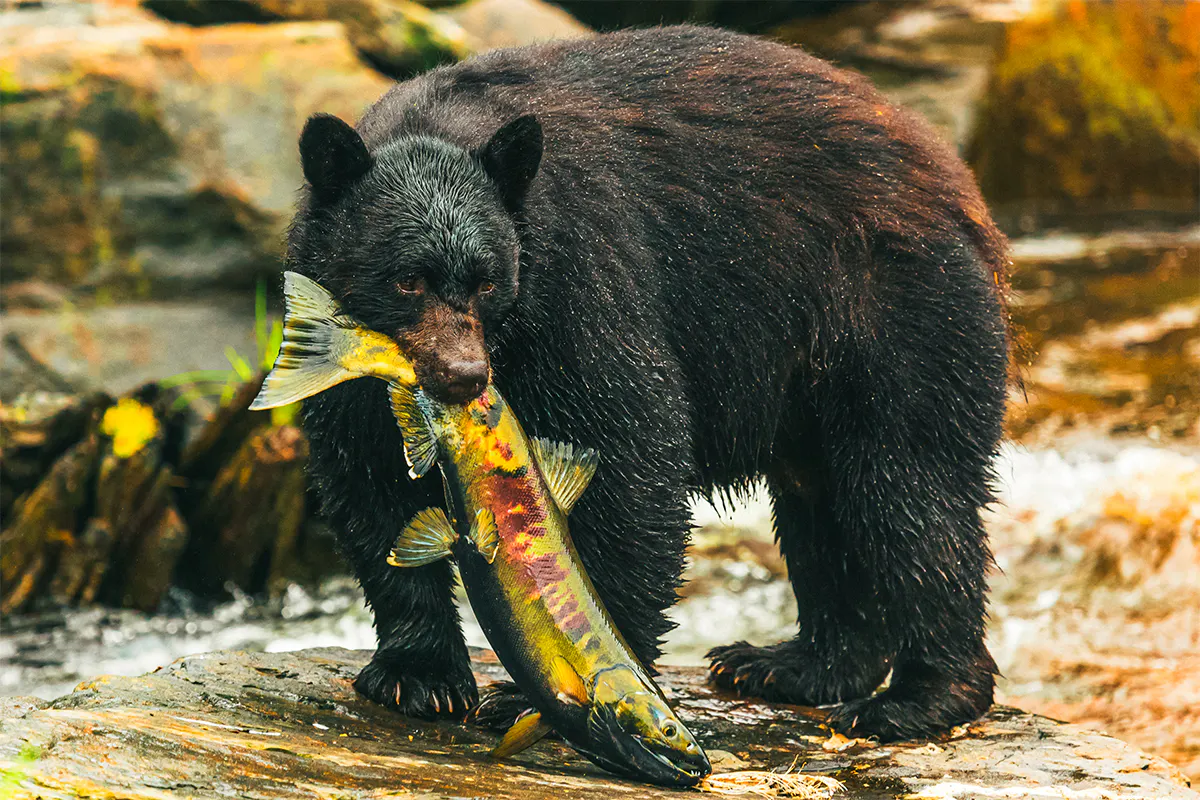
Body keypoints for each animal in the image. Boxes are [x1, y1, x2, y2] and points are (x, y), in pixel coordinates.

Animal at [287, 25, 1010, 741]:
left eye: (488, 280)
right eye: (408, 279)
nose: (464, 376)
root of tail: (954, 177)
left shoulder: (577, 275)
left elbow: (629, 447)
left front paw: (570, 681)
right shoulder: (336, 337)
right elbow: (368, 476)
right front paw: (420, 676)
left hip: (893, 309)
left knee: (908, 487)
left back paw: (917, 697)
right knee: (820, 500)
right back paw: (793, 665)